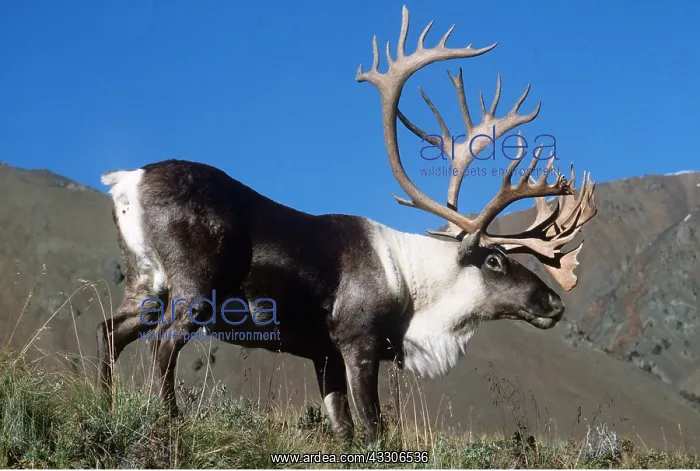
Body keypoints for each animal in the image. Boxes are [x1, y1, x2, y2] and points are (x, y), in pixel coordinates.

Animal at [96, 5, 597, 442]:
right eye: (495, 261)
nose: (554, 302)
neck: (414, 288)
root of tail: (127, 181)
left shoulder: (323, 353)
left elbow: (343, 428)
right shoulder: (358, 342)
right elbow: (372, 425)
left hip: (146, 283)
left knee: (110, 331)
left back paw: (105, 406)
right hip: (193, 289)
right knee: (162, 345)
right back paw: (167, 419)